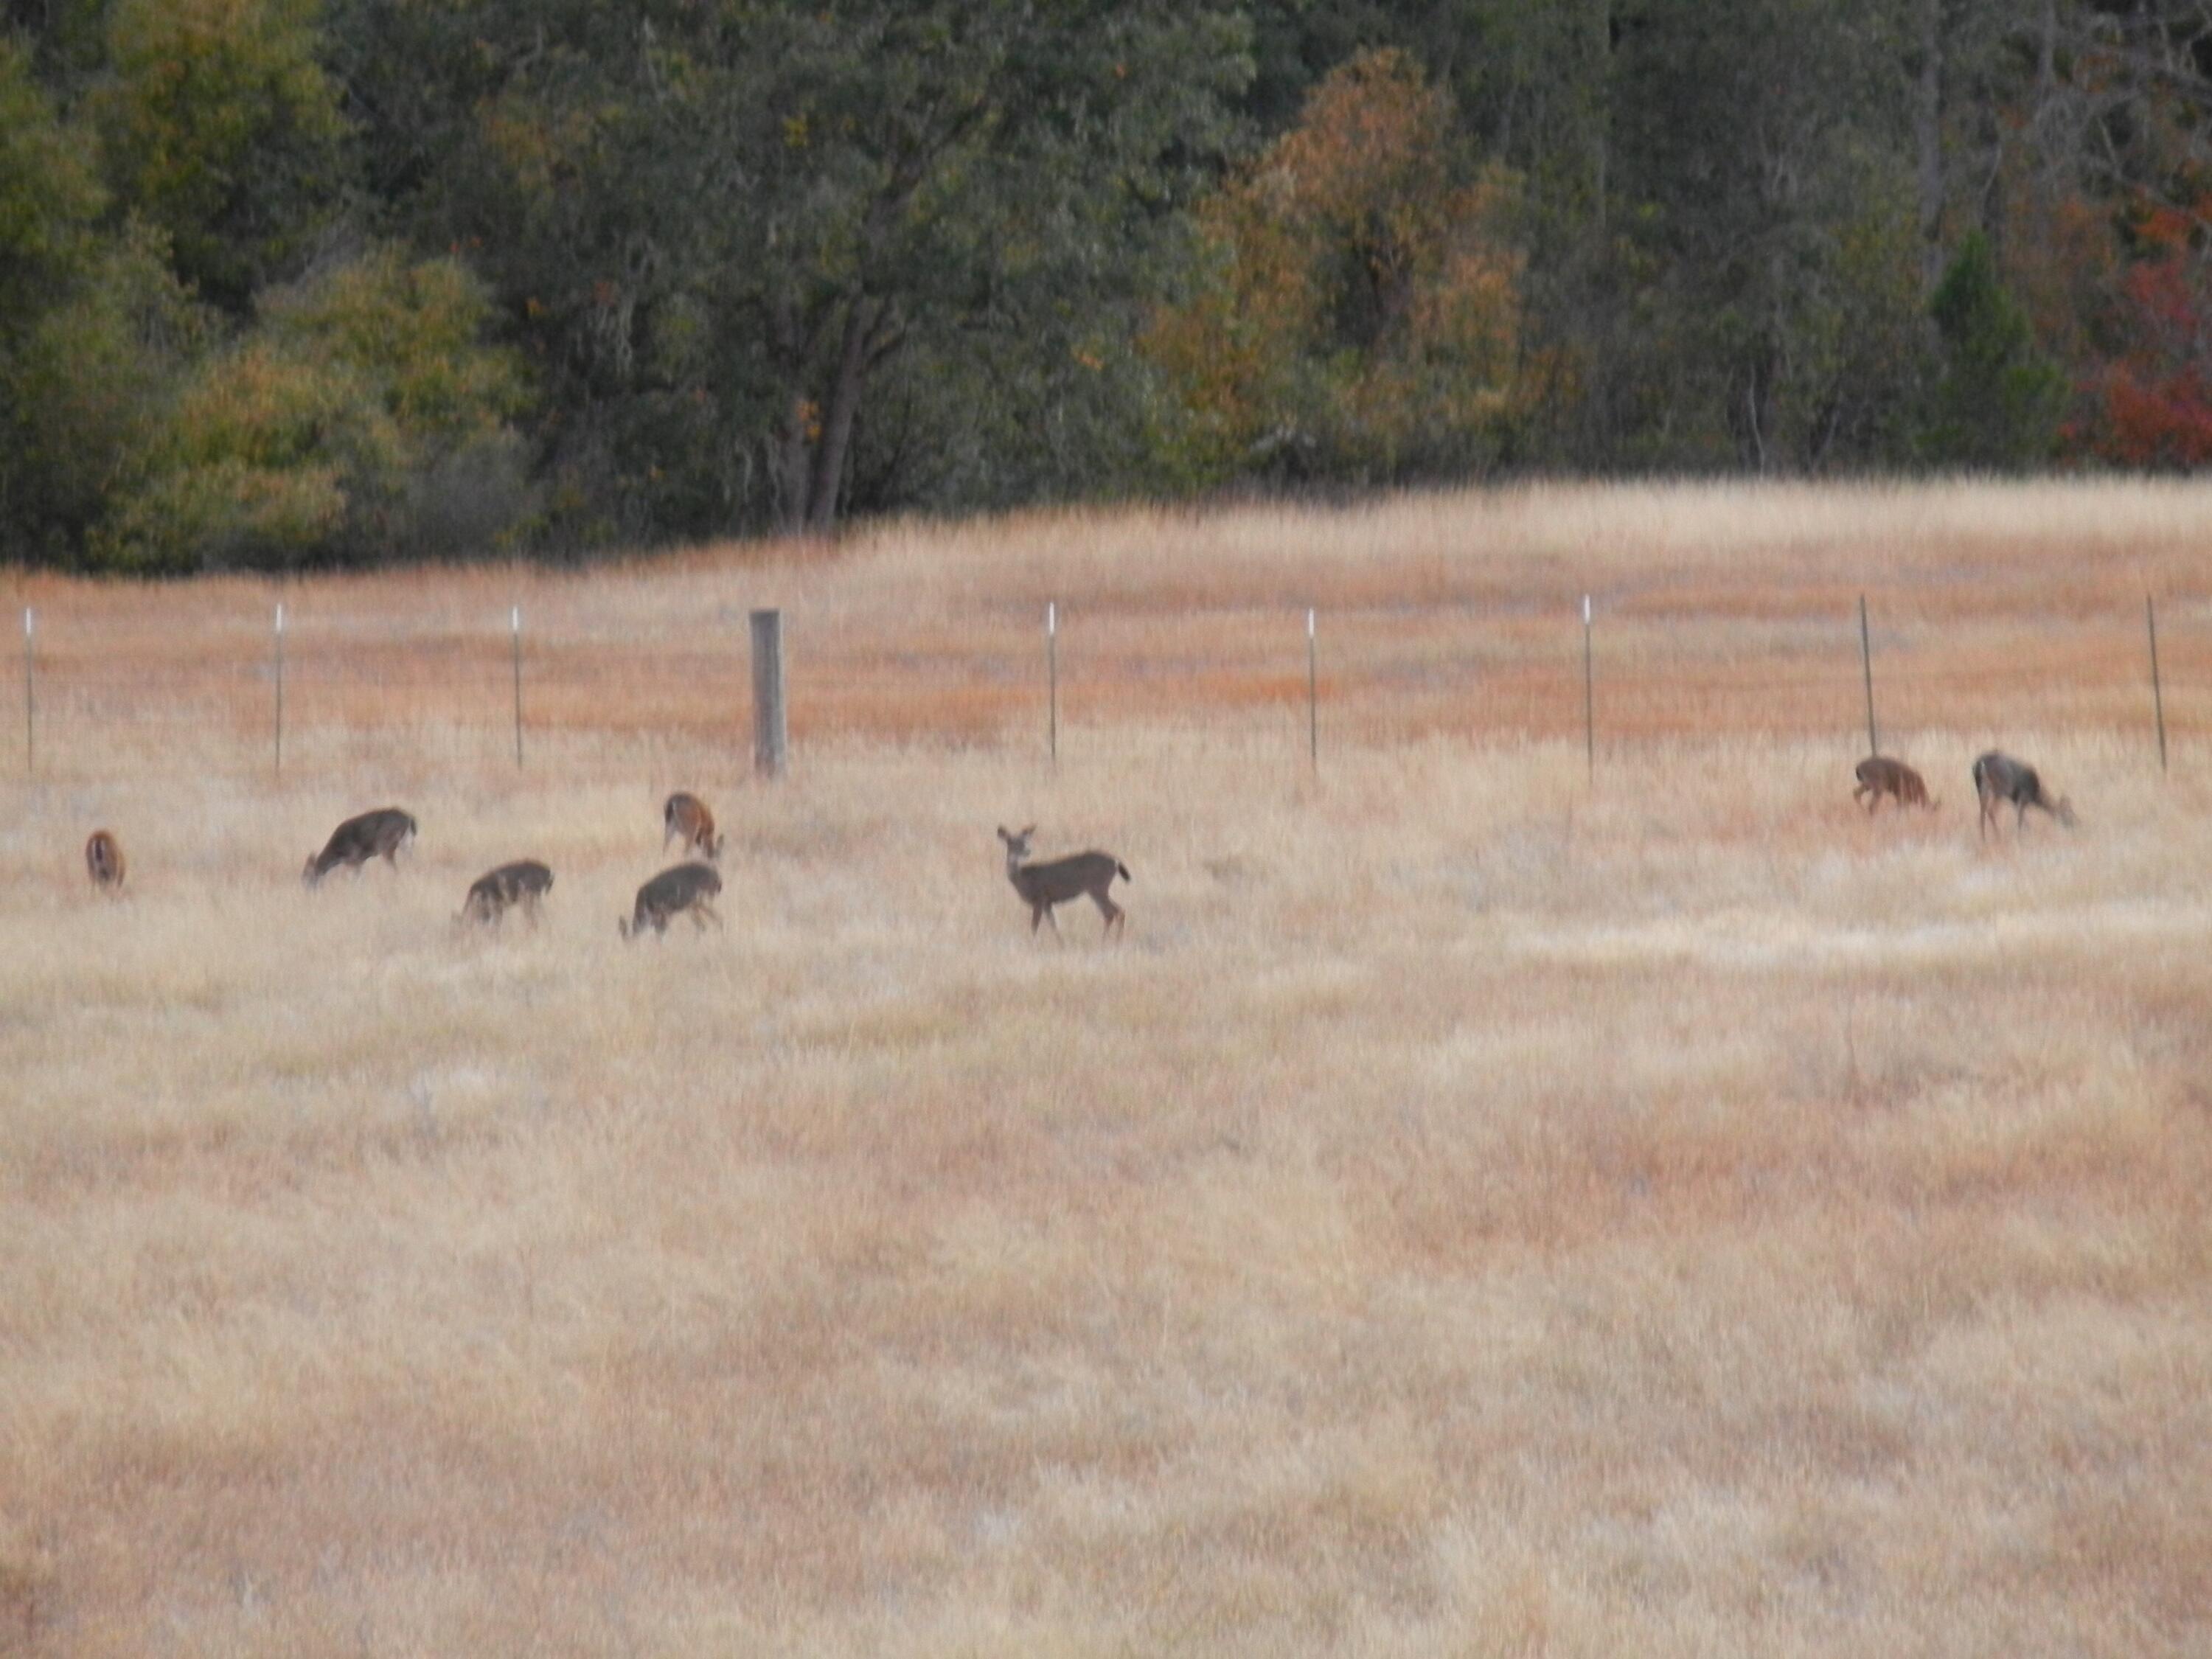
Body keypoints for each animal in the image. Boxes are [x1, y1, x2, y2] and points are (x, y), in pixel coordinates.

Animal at [303, 807, 418, 886]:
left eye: (306, 875)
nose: (306, 890)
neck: (338, 852)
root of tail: (409, 819)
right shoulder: (360, 860)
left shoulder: (354, 859)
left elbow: (357, 879)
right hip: (407, 843)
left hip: (387, 845)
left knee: (394, 867)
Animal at [620, 863, 723, 939]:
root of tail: (717, 877)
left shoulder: (663, 913)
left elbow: (660, 933)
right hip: (695, 905)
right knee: (708, 922)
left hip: (696, 903)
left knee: (709, 922)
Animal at [998, 825, 1132, 941]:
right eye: (1011, 842)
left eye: (1026, 841)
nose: (1028, 851)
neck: (1021, 878)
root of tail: (1116, 862)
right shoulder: (1048, 903)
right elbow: (1055, 925)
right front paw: (1062, 943)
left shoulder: (1039, 898)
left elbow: (1034, 927)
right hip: (1100, 888)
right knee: (1117, 911)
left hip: (1097, 887)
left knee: (1112, 912)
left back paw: (1106, 940)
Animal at [1972, 751, 2075, 840]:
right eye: (2069, 815)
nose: (2076, 824)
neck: (2036, 794)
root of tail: (1980, 763)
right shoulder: (2024, 797)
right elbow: (2021, 820)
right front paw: (2021, 838)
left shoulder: (2015, 800)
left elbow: (2022, 819)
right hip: (2000, 788)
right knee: (1991, 810)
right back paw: (1999, 836)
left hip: (1981, 787)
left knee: (1982, 812)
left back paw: (1984, 839)